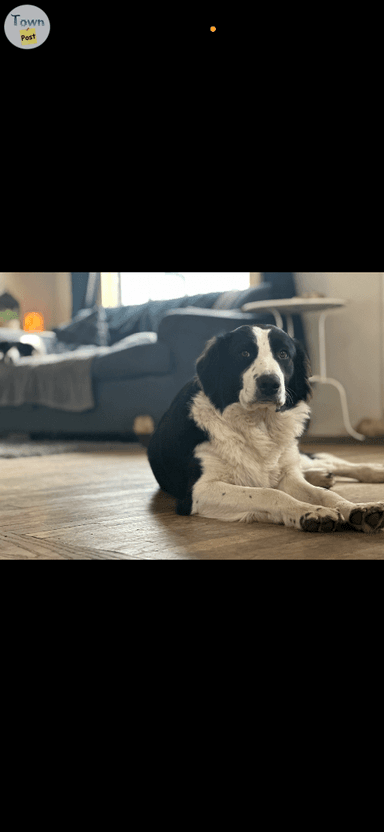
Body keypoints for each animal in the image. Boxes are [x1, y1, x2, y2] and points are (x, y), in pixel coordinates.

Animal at [147, 324, 384, 532]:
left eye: (283, 354)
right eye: (244, 353)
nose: (270, 383)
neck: (259, 423)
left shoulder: (287, 475)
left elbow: (325, 495)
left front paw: (357, 508)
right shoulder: (199, 490)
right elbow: (269, 493)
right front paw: (312, 513)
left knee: (330, 461)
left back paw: (370, 471)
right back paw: (321, 476)